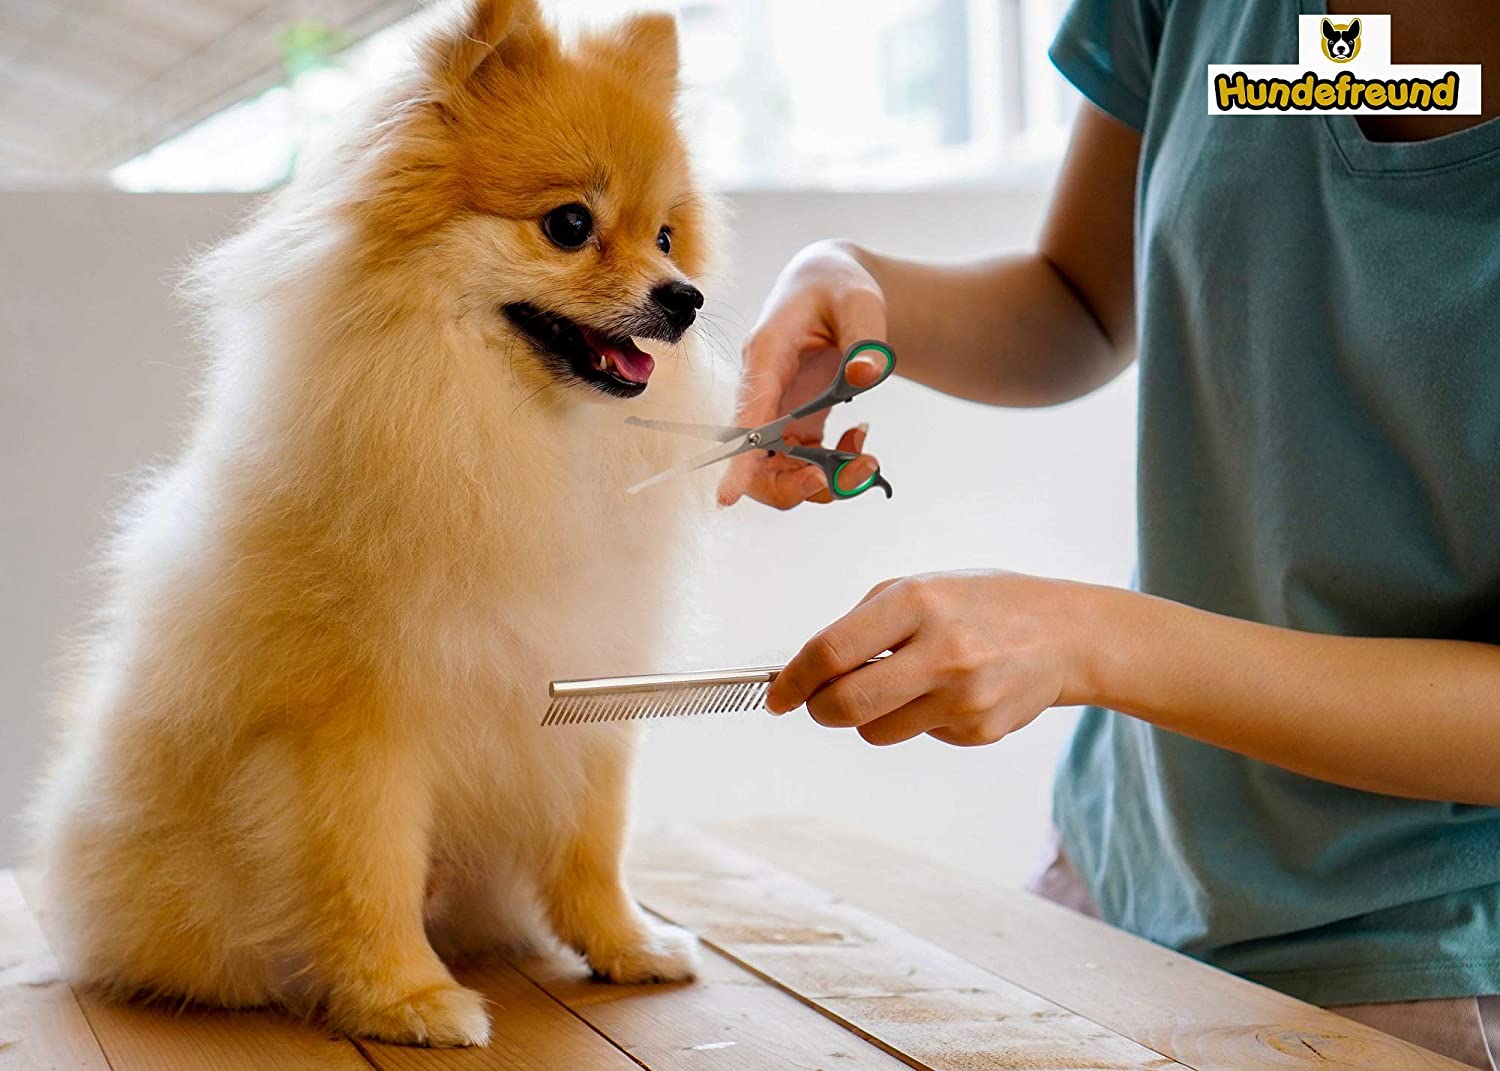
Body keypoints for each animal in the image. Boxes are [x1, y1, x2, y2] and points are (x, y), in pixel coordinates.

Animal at [29, 0, 720, 1044]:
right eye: (571, 225)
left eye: (669, 237)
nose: (684, 300)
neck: (505, 437)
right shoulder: (360, 722)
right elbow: (370, 871)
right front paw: (405, 997)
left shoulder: (583, 684)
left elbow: (592, 844)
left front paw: (627, 943)